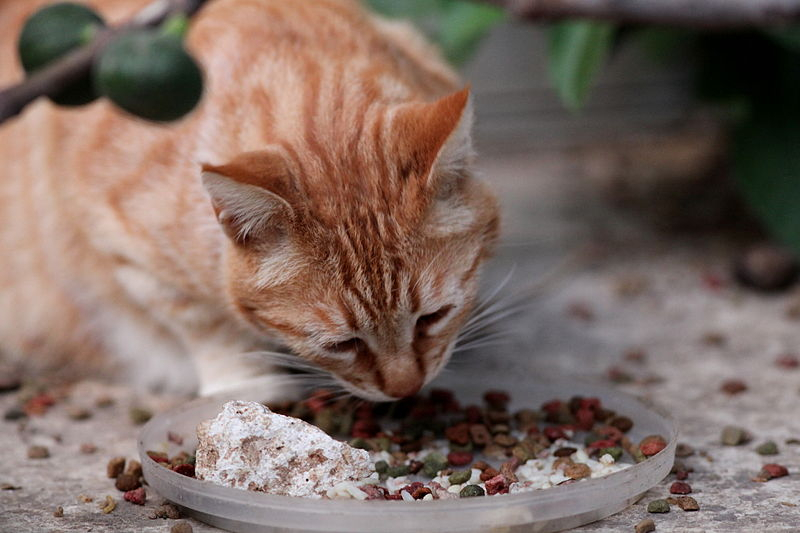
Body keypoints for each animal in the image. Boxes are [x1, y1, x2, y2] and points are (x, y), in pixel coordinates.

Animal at [0, 0, 496, 400]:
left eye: (434, 317)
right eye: (341, 344)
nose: (405, 390)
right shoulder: (125, 249)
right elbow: (203, 323)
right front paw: (246, 382)